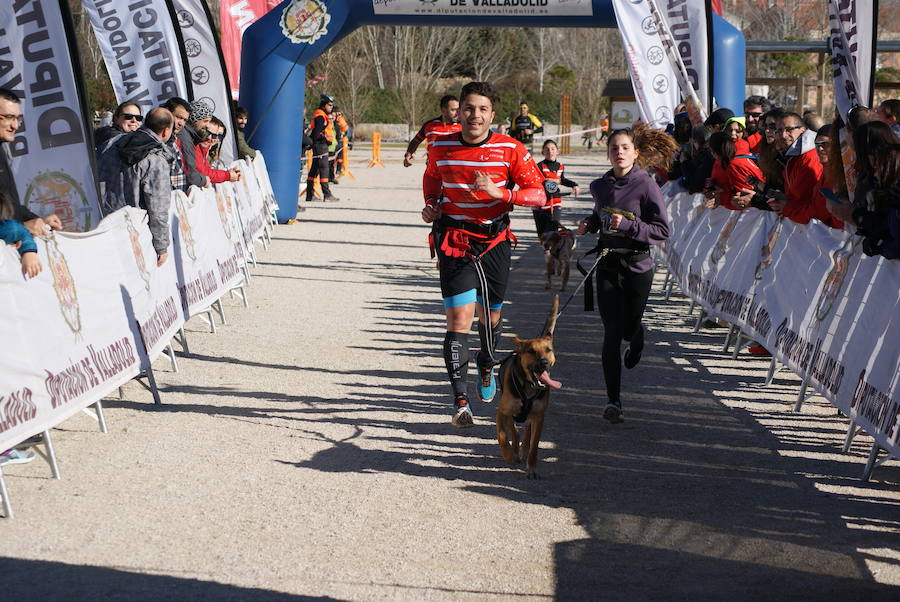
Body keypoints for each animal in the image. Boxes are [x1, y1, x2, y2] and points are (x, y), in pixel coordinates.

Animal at [496, 292, 560, 476]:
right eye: (531, 351)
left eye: (548, 350)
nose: (544, 362)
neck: (529, 387)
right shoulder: (501, 412)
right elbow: (502, 436)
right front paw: (509, 456)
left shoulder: (539, 415)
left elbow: (534, 445)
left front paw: (531, 467)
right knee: (514, 431)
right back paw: (515, 451)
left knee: (526, 433)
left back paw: (522, 450)